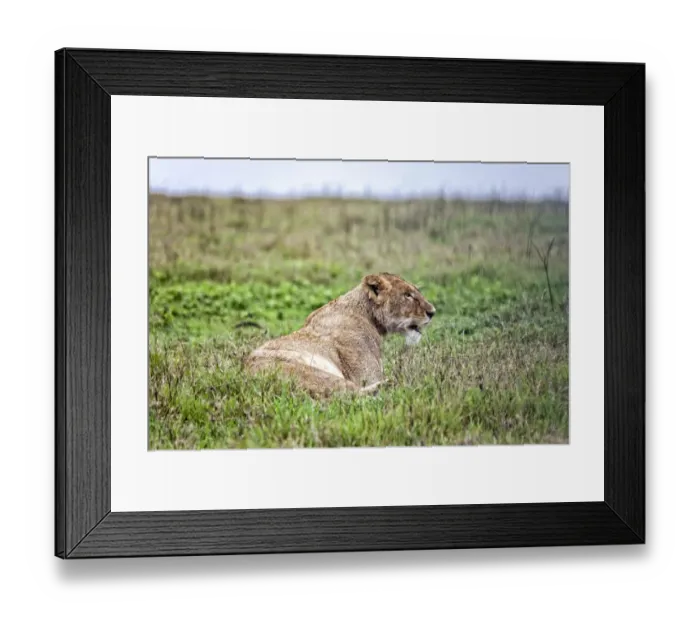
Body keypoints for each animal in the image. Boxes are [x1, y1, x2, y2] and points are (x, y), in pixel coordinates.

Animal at [244, 273, 436, 398]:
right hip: (311, 373)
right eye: (408, 295)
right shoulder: (367, 376)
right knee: (356, 394)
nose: (432, 312)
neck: (369, 315)